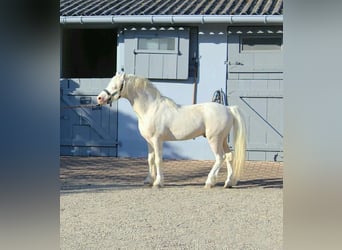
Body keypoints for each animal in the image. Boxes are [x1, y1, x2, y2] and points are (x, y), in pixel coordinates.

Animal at [97, 72, 246, 188]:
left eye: (115, 85)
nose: (99, 98)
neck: (150, 108)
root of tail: (228, 109)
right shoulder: (149, 142)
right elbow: (150, 159)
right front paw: (148, 180)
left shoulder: (157, 140)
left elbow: (158, 160)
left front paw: (158, 182)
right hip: (222, 139)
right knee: (229, 156)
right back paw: (228, 183)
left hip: (214, 139)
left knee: (220, 157)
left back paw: (209, 182)